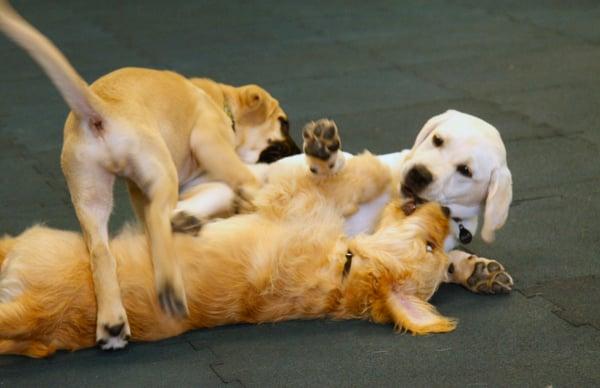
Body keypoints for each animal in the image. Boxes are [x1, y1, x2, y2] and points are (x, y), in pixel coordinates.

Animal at [0, 1, 298, 350]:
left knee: (102, 253)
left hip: (91, 196)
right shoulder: (209, 145)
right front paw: (253, 193)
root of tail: (100, 110)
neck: (220, 103)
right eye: (283, 123)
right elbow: (241, 175)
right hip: (161, 170)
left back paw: (113, 322)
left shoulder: (171, 181)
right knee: (157, 219)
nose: (297, 150)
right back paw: (170, 285)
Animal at [171, 108, 512, 292]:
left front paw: (476, 270)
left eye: (465, 170)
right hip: (219, 191)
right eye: (438, 140)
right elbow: (335, 173)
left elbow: (441, 261)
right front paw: (326, 156)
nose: (419, 174)